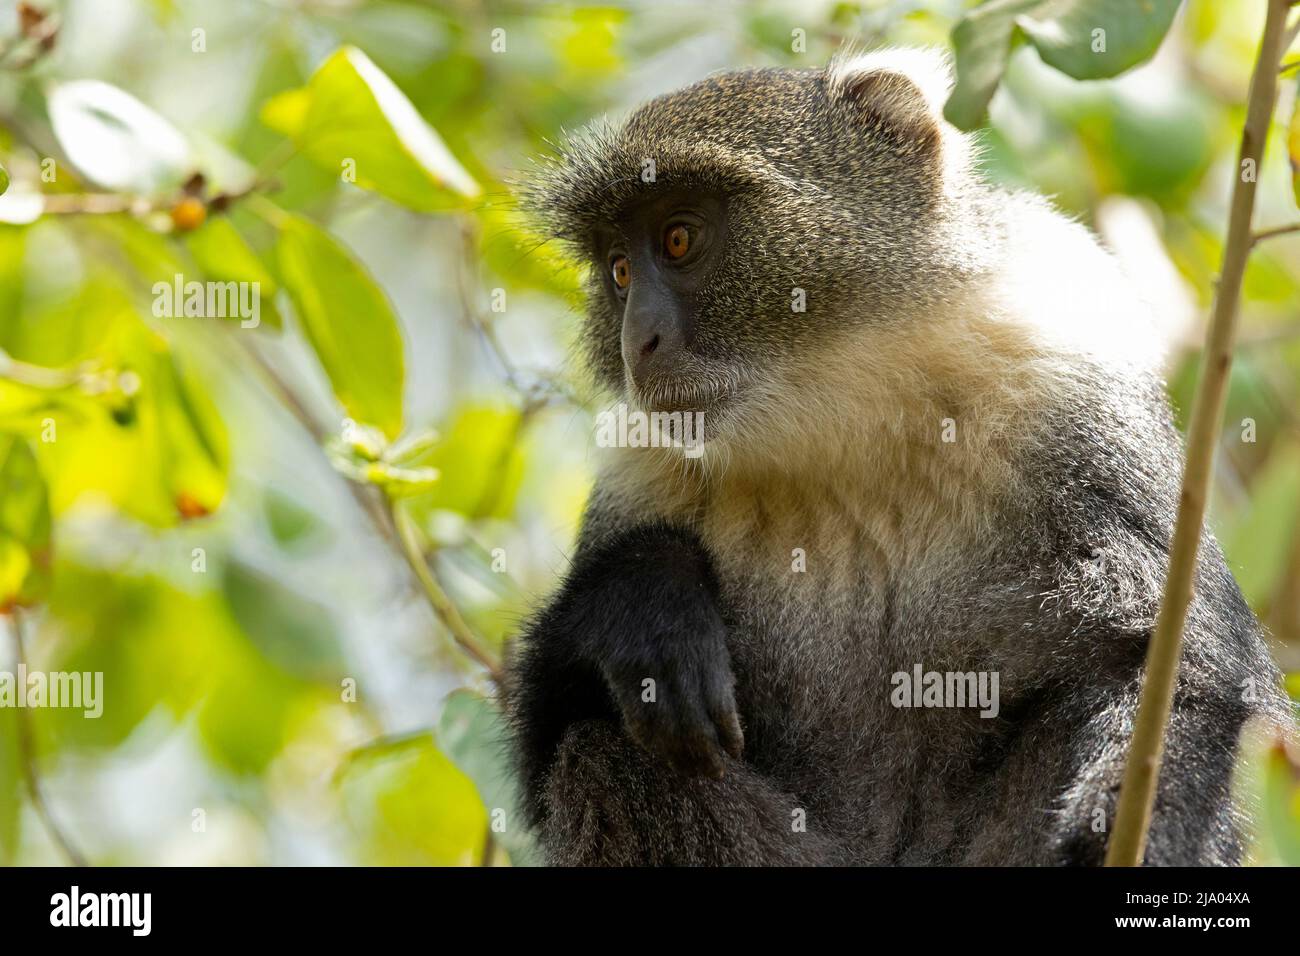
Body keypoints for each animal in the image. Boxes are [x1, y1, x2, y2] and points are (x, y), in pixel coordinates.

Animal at [503, 47, 1296, 866]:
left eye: (679, 241)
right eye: (619, 271)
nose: (639, 343)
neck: (843, 419)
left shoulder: (1070, 375)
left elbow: (1181, 668)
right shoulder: (642, 473)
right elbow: (543, 736)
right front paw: (649, 601)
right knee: (600, 755)